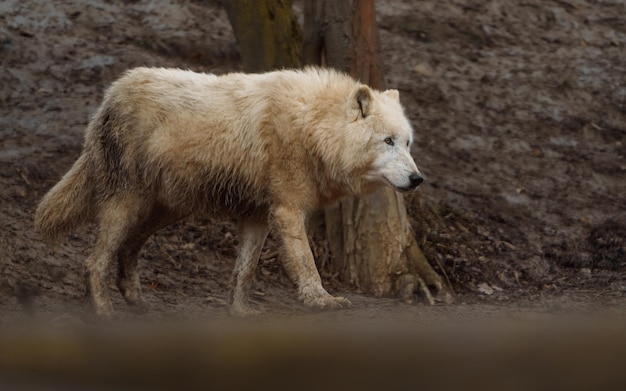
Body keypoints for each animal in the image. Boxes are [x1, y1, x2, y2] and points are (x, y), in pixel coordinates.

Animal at [35, 67, 424, 318]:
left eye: (407, 143)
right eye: (387, 141)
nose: (418, 178)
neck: (313, 127)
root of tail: (111, 93)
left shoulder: (258, 216)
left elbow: (244, 271)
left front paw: (240, 312)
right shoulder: (287, 210)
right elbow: (306, 262)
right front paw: (322, 301)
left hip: (164, 210)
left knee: (127, 248)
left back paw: (137, 303)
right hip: (129, 204)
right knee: (94, 261)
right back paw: (105, 312)